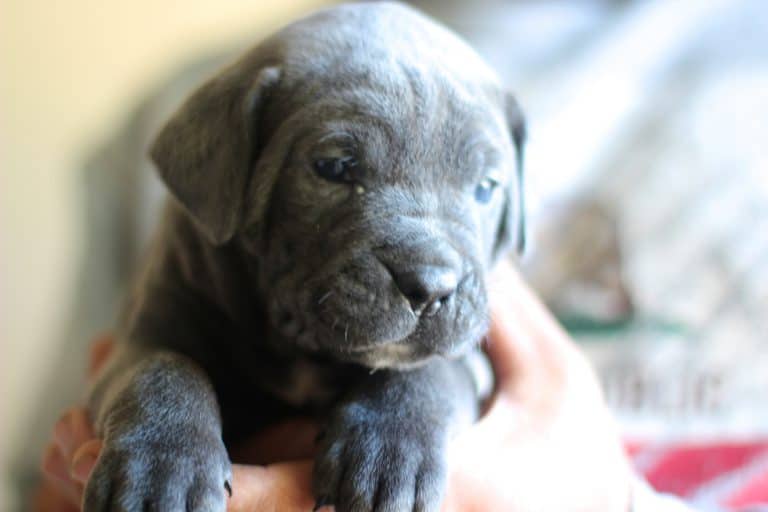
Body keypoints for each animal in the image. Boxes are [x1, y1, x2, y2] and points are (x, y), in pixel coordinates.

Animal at [85, 2, 528, 510]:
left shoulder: (474, 361)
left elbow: (429, 370)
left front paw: (390, 451)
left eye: (486, 188)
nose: (430, 286)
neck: (304, 354)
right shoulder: (136, 338)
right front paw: (162, 470)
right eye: (333, 167)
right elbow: (163, 367)